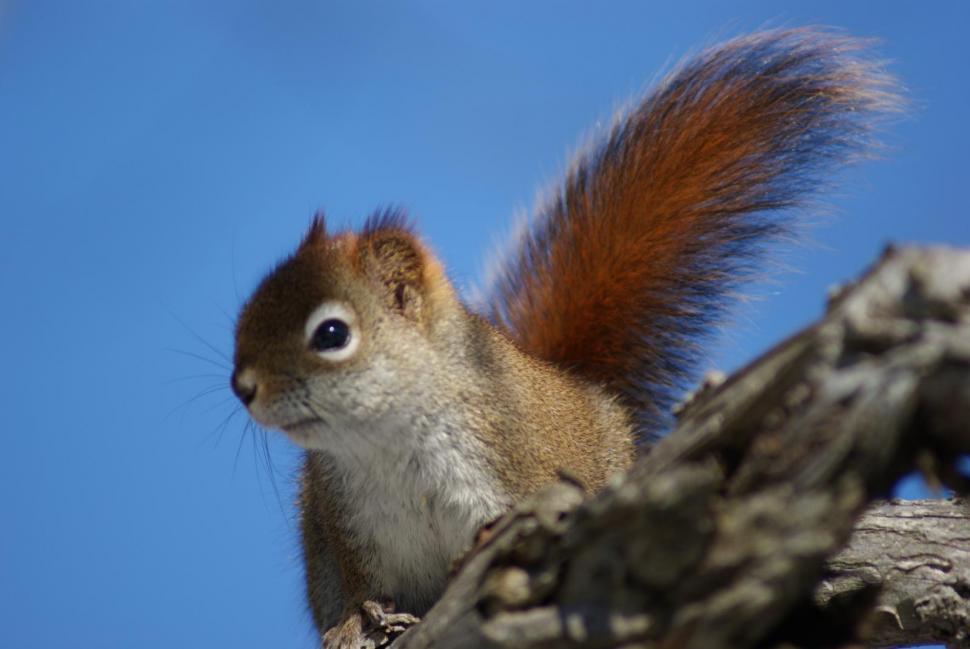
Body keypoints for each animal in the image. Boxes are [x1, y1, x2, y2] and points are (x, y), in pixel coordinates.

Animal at [230, 28, 899, 648]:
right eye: (245, 314)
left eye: (332, 333)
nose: (243, 387)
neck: (388, 439)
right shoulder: (344, 525)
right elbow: (362, 590)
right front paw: (352, 625)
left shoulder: (523, 461)